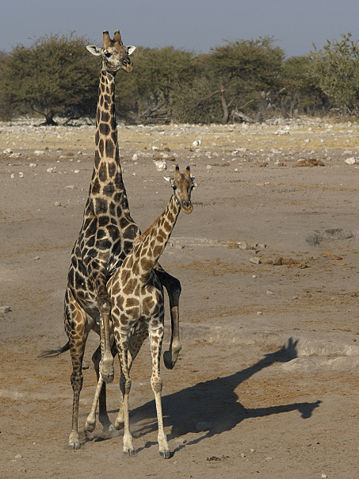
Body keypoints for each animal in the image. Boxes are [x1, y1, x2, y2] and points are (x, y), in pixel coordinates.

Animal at [44, 29, 184, 450]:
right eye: (106, 53)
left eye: (125, 49)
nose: (125, 64)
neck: (109, 201)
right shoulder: (98, 277)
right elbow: (107, 309)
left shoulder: (143, 265)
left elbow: (174, 284)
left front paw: (172, 352)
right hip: (75, 319)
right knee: (77, 371)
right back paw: (76, 433)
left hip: (91, 324)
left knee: (93, 361)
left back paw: (104, 420)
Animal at [85, 167, 195, 460]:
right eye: (173, 185)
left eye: (192, 185)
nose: (187, 205)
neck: (142, 272)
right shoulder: (122, 327)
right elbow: (125, 381)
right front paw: (128, 444)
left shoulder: (154, 326)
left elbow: (155, 382)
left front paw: (164, 445)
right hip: (116, 332)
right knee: (103, 363)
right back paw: (88, 423)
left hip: (137, 336)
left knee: (115, 363)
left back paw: (116, 420)